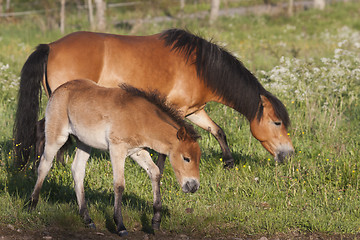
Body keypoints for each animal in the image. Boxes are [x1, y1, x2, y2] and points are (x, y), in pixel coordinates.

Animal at [14, 28, 294, 169]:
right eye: (277, 122)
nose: (289, 154)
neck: (201, 67)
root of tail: (51, 46)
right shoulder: (177, 110)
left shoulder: (194, 111)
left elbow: (218, 131)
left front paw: (228, 162)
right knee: (43, 131)